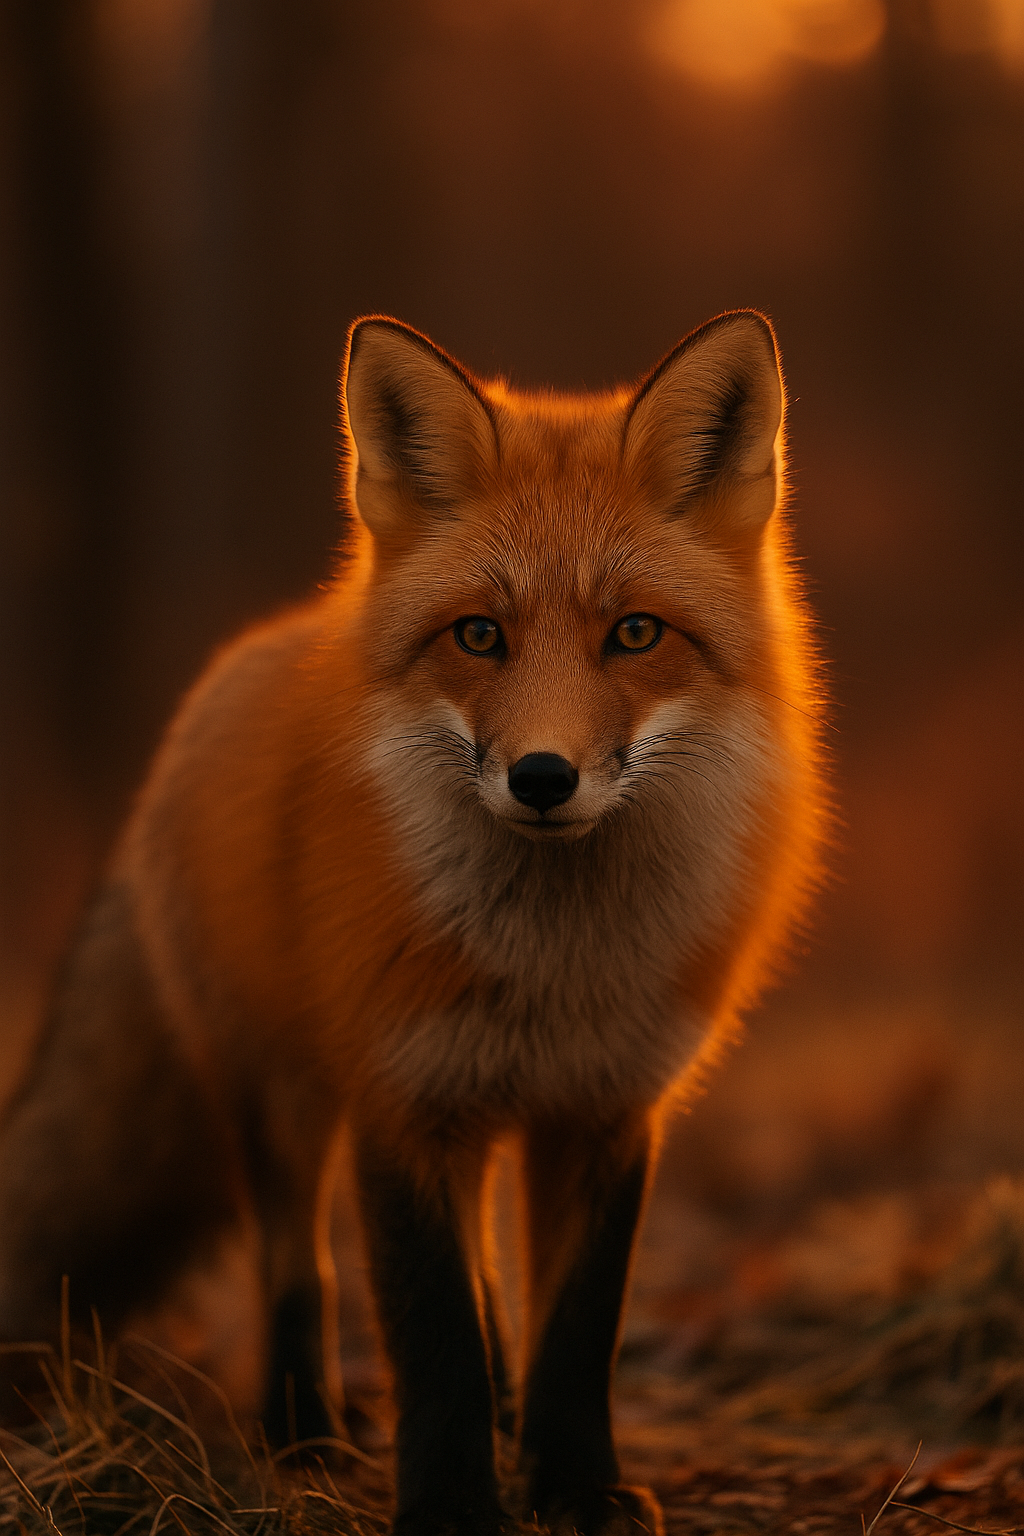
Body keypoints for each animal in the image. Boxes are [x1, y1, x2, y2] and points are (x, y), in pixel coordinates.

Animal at [0, 311, 823, 1536]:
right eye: (478, 637)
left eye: (635, 633)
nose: (542, 777)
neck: (553, 965)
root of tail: (250, 656)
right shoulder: (402, 1096)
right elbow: (431, 1337)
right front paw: (451, 1504)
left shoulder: (604, 1109)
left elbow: (572, 1329)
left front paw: (573, 1486)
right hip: (281, 1096)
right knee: (300, 1268)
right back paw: (304, 1435)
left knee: (485, 1290)